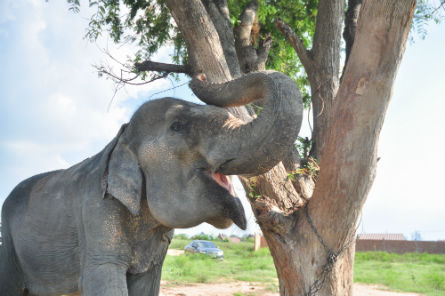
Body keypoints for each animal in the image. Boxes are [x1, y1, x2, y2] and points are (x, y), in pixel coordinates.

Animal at [0, 70, 302, 294]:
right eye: (177, 126)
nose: (200, 74)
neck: (119, 139)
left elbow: (147, 284)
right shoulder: (96, 211)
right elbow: (104, 278)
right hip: (8, 241)